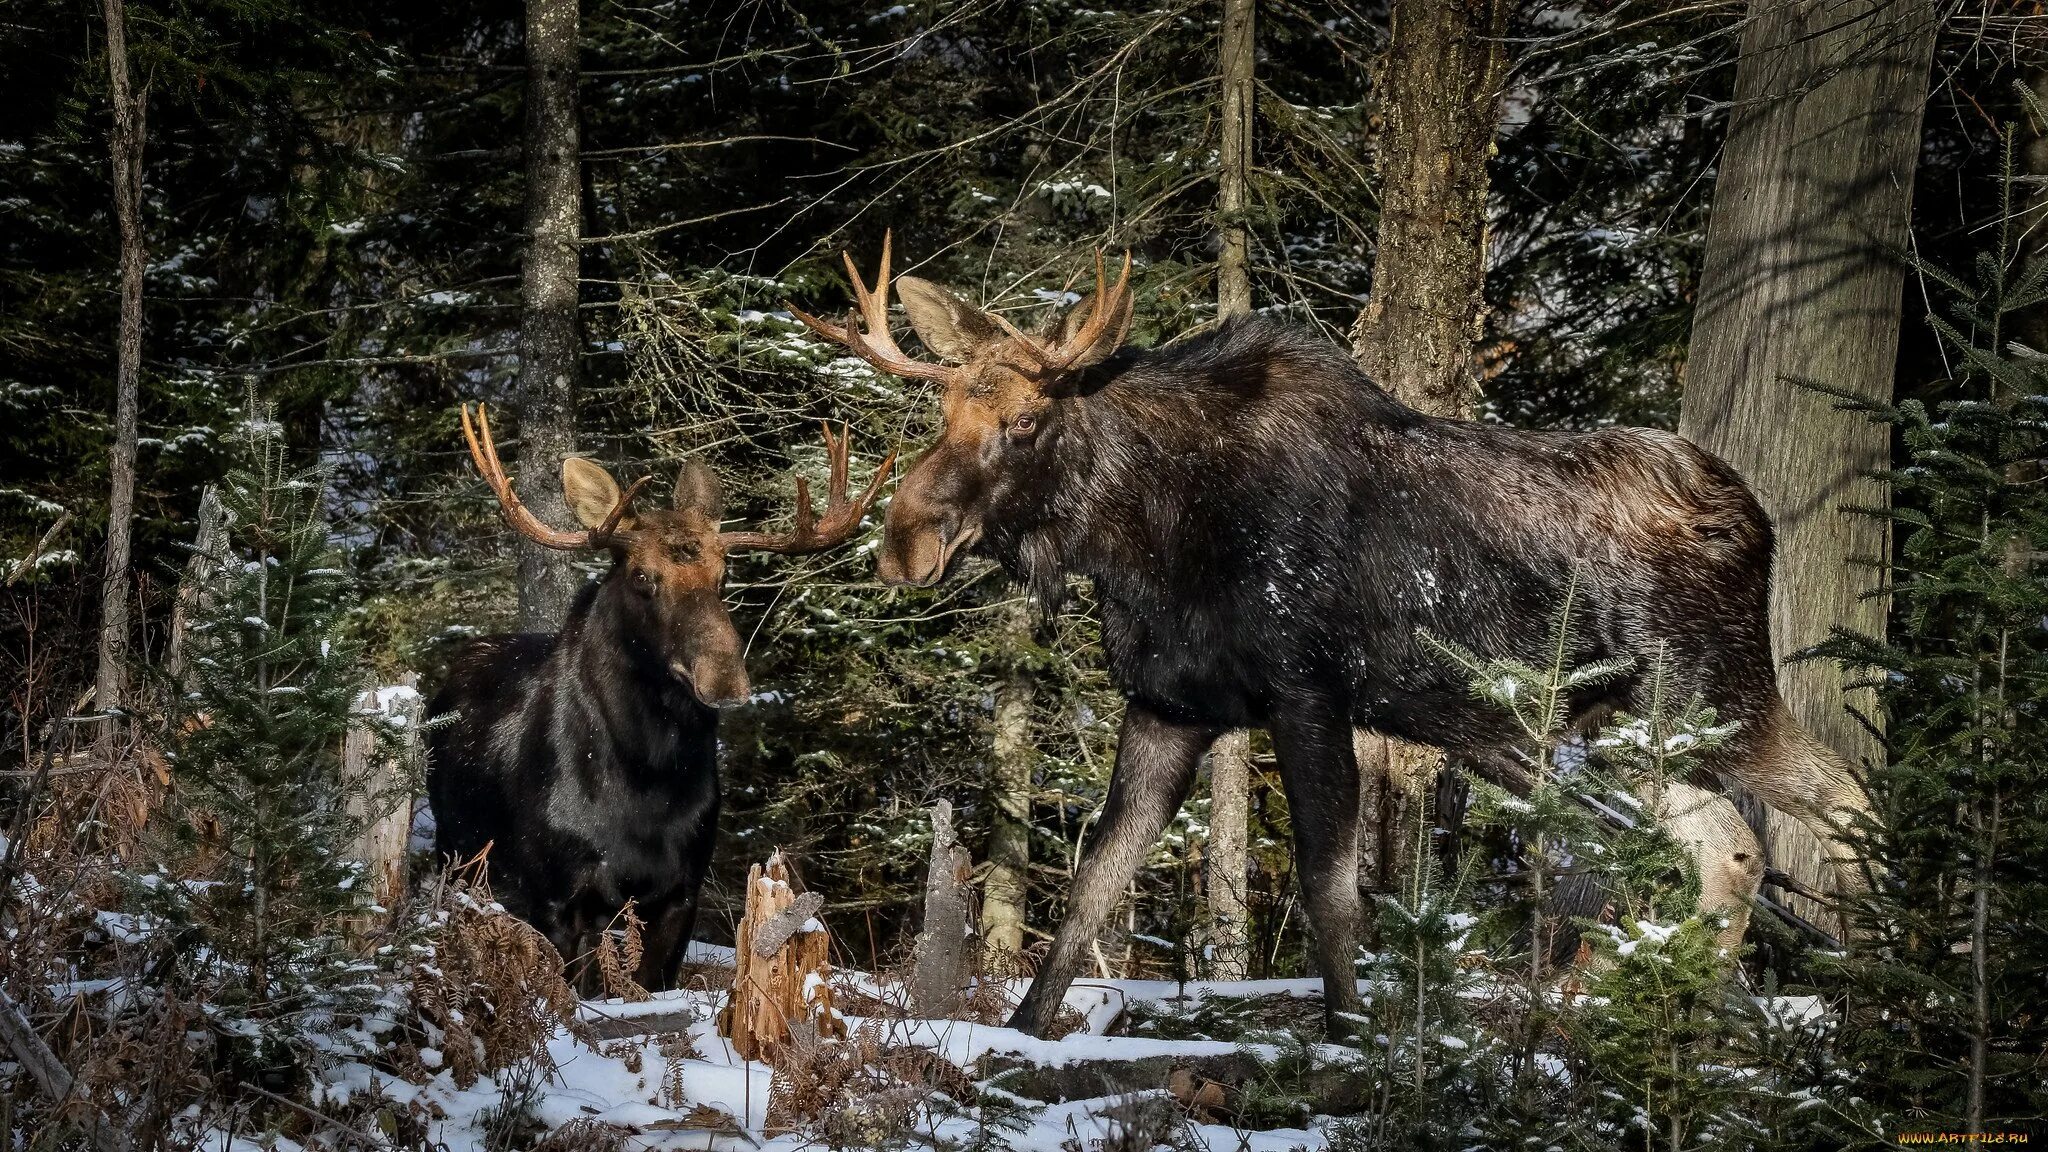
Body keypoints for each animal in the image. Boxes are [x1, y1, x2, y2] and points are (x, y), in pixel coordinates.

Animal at [423, 405, 888, 988]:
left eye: (724, 575)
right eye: (643, 575)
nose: (725, 679)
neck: (647, 780)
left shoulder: (681, 891)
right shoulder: (555, 897)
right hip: (456, 852)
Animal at [794, 233, 1875, 1033]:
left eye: (1024, 422)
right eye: (941, 408)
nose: (902, 540)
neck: (1143, 539)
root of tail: (1758, 521)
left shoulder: (1308, 691)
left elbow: (1329, 888)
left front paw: (1347, 1031)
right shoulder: (1166, 703)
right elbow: (1097, 879)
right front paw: (1024, 1031)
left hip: (1711, 694)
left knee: (1835, 797)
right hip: (1608, 735)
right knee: (1724, 846)